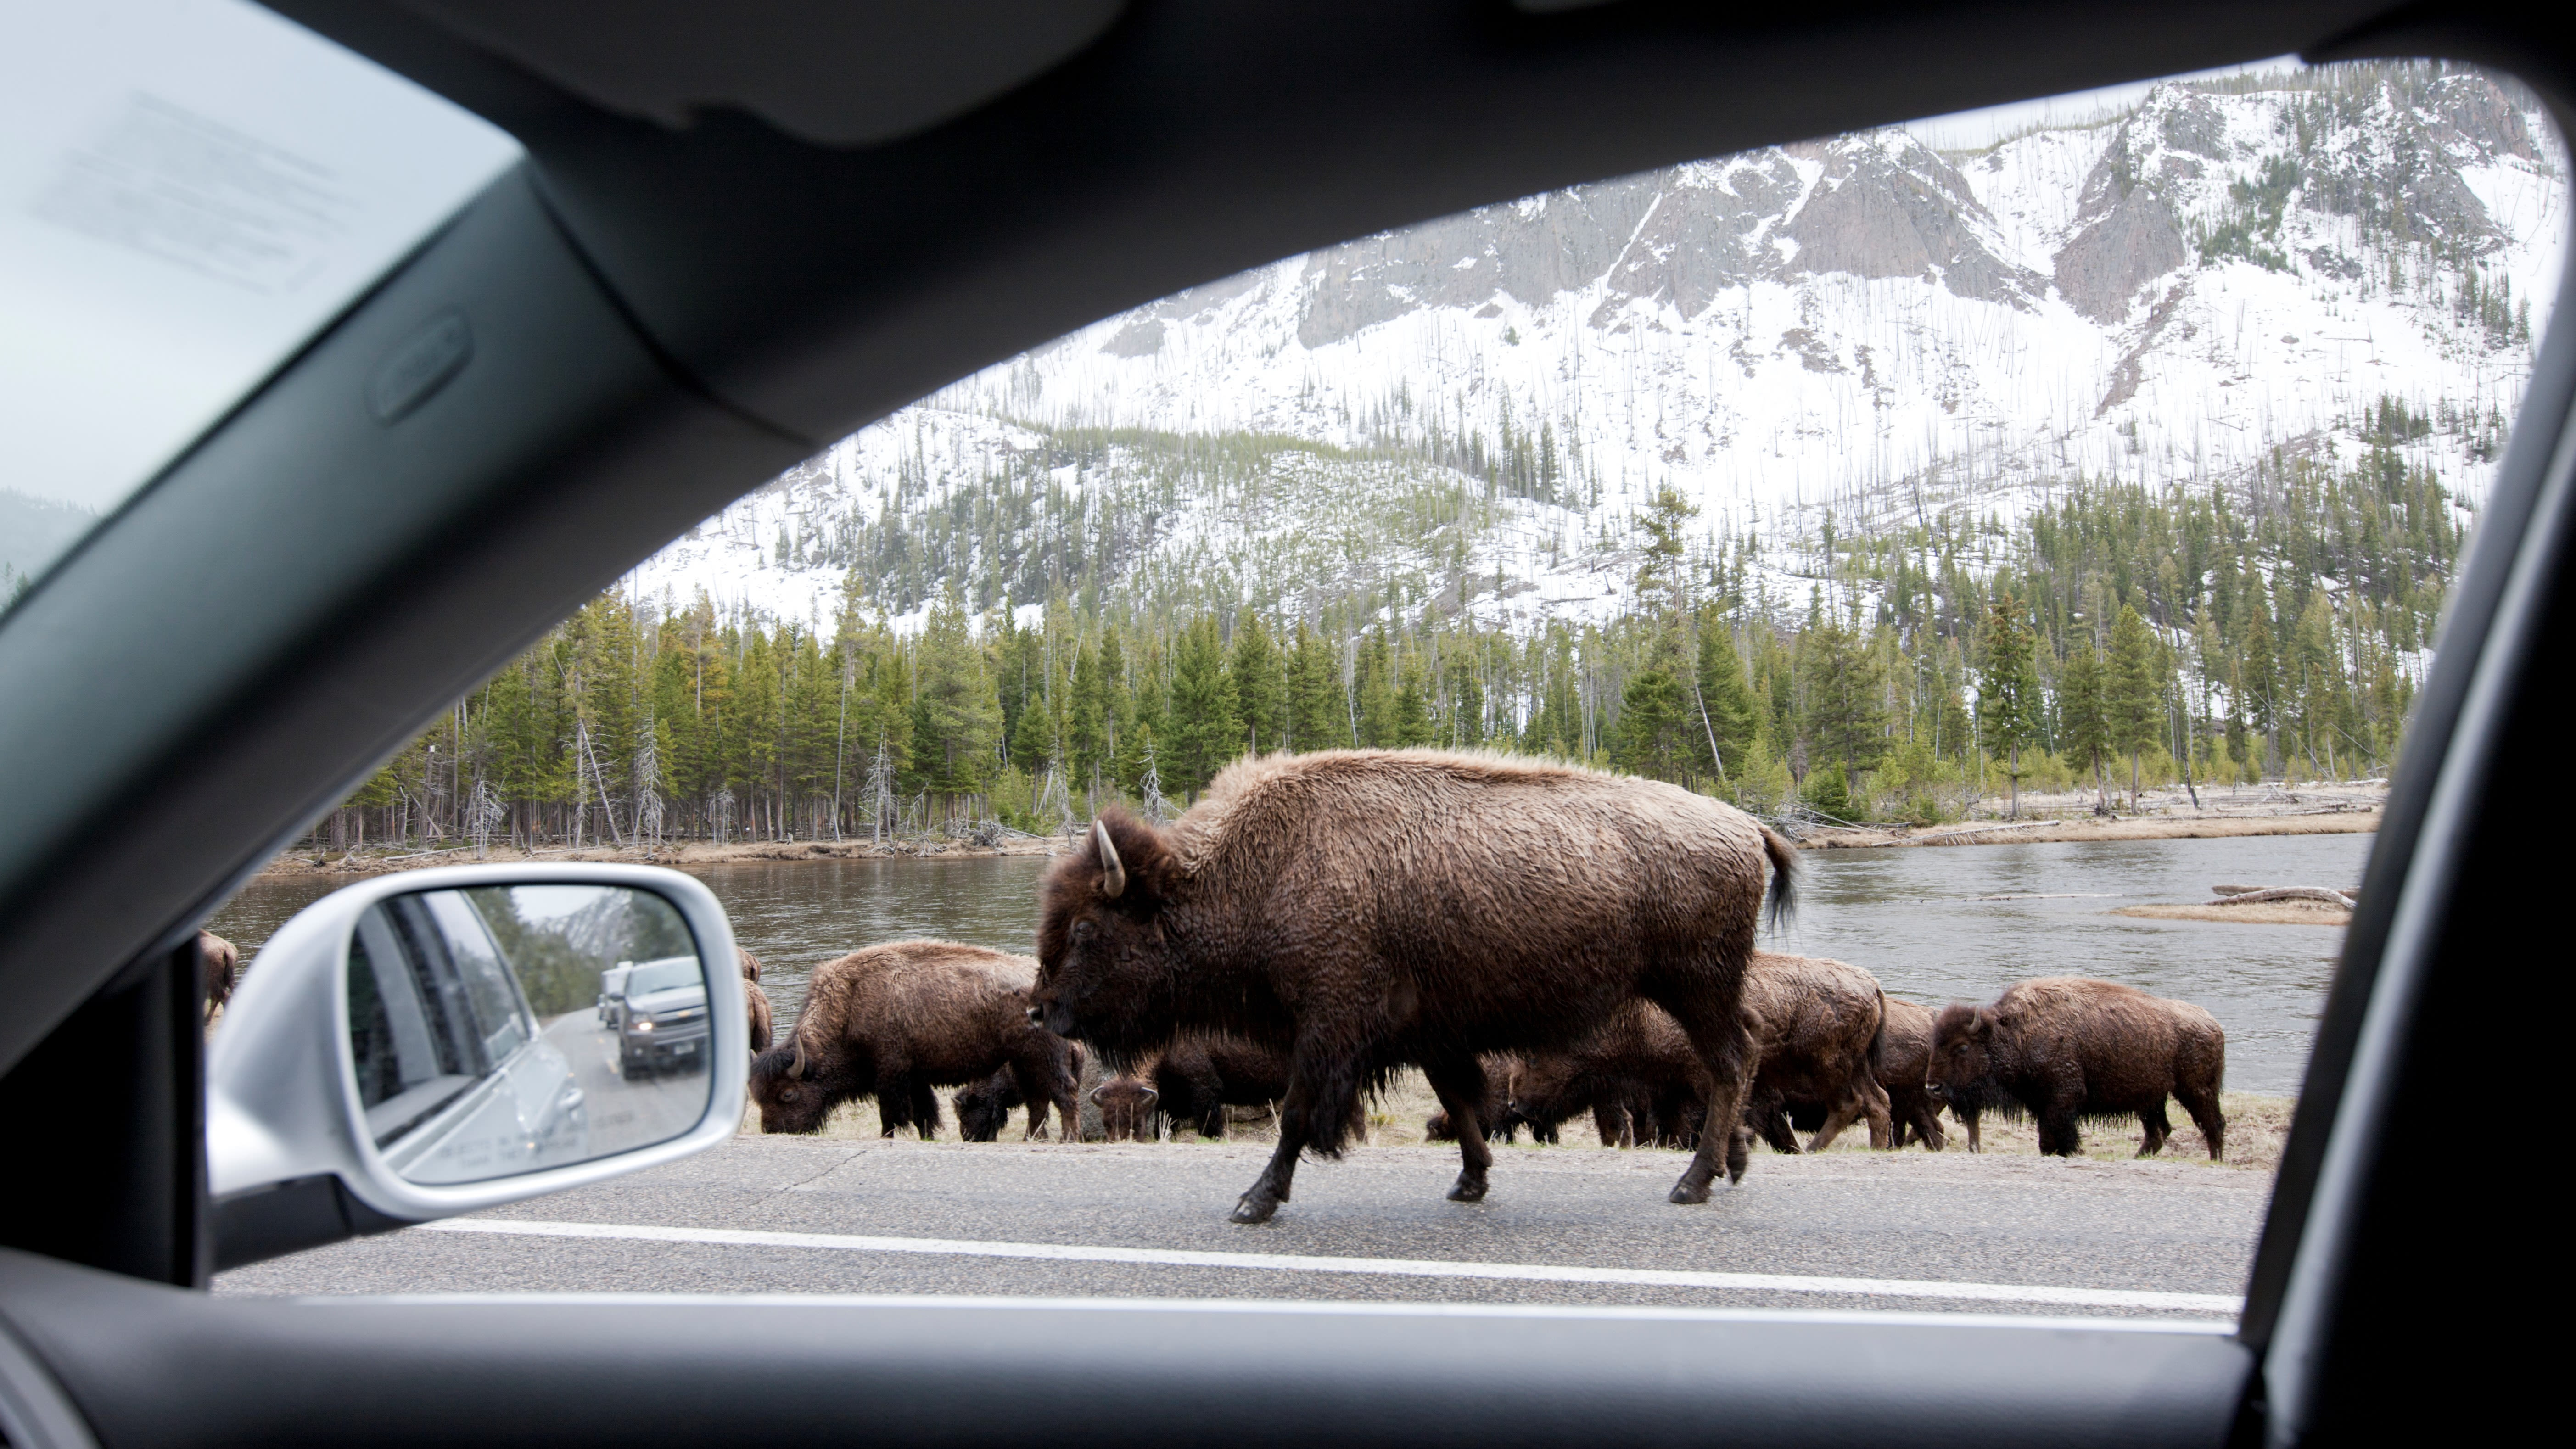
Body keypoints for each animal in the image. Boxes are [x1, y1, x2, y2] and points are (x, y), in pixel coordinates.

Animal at [747, 942, 1076, 1147]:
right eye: (759, 1097)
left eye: (788, 1094)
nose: (774, 1132)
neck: (849, 1006)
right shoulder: (916, 1078)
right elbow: (922, 1115)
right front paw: (928, 1137)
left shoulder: (891, 1075)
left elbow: (891, 1116)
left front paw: (887, 1139)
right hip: (1024, 1062)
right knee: (1038, 1101)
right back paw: (1031, 1139)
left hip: (1043, 1058)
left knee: (1064, 1093)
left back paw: (1068, 1138)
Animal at [1025, 746, 1792, 1225]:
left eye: (1087, 928)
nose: (1039, 1009)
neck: (1260, 868)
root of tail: (1748, 825)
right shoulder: (1428, 1031)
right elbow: (1461, 1105)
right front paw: (1470, 1182)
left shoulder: (1330, 1027)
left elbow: (1299, 1115)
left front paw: (1255, 1200)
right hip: (1703, 988)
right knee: (1741, 1053)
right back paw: (1728, 1166)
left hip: (1694, 985)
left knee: (1730, 1060)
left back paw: (1692, 1182)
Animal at [1926, 983, 2225, 1163]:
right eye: (1935, 1043)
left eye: (1962, 1047)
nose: (1933, 1088)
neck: (2015, 1034)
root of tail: (2212, 1022)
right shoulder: (2042, 1105)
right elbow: (2047, 1141)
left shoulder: (2062, 1102)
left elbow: (2058, 1138)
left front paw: (2072, 1153)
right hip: (2152, 1099)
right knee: (2159, 1132)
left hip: (2197, 1091)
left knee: (2214, 1125)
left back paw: (2216, 1161)